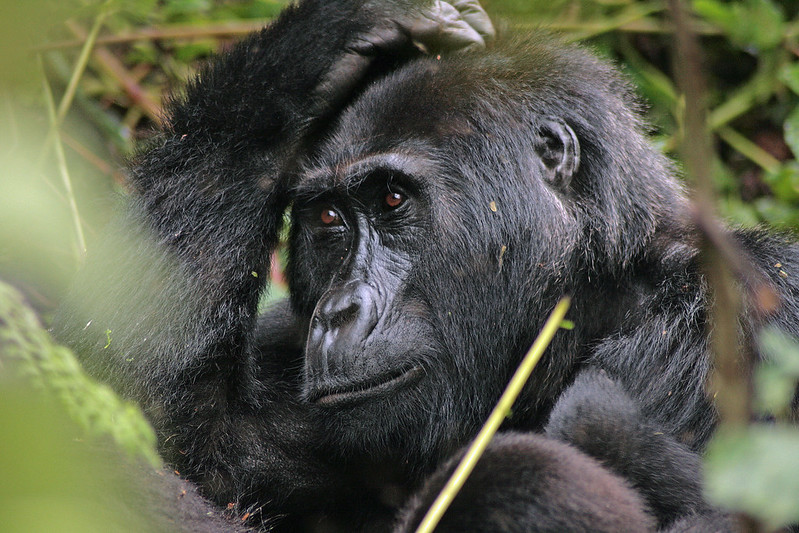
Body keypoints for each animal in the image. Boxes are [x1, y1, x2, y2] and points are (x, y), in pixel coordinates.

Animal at [53, 0, 796, 528]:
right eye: (328, 220)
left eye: (391, 199)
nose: (337, 311)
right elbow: (158, 442)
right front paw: (309, 50)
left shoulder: (744, 314)